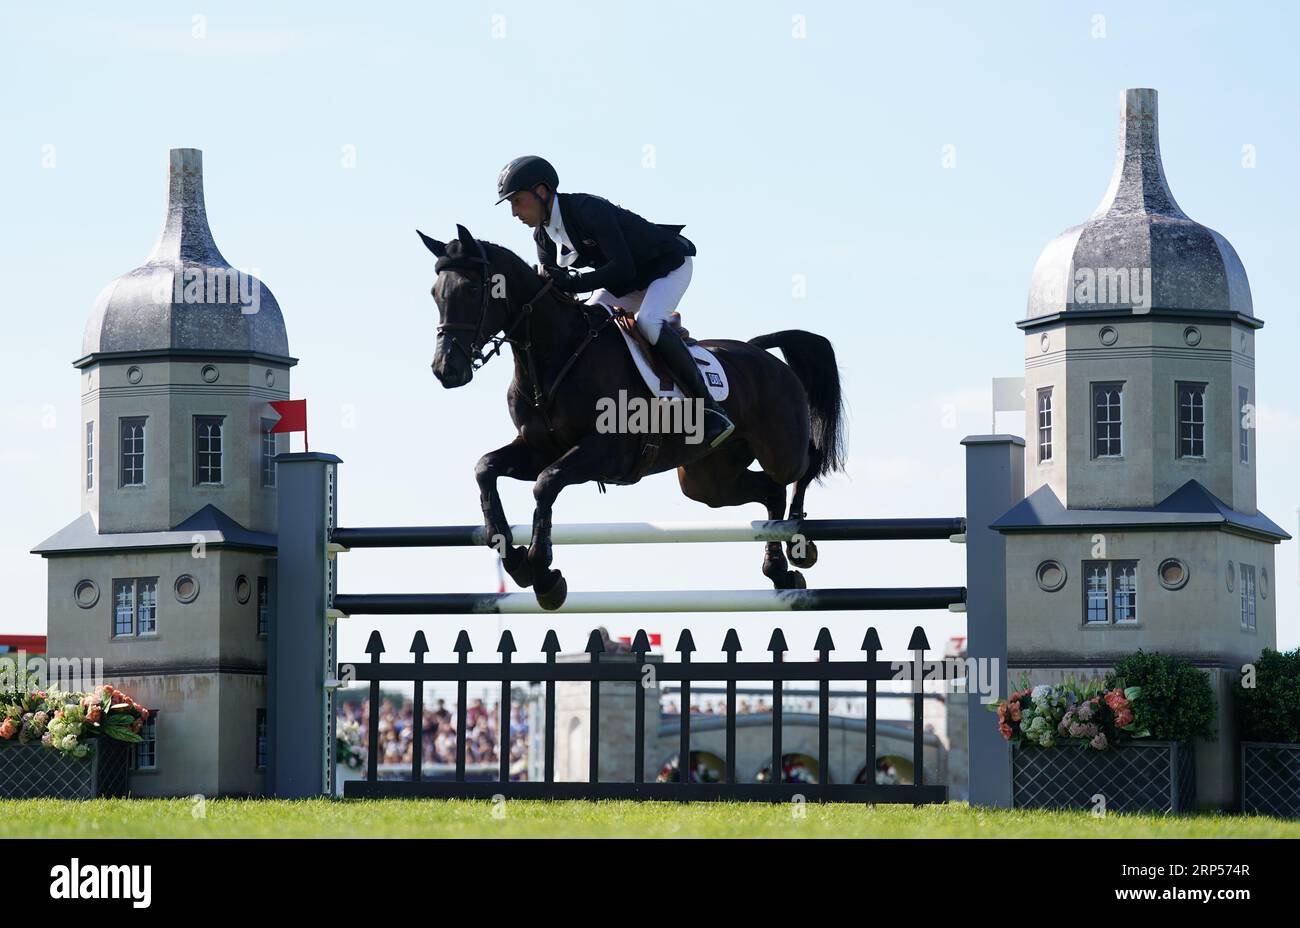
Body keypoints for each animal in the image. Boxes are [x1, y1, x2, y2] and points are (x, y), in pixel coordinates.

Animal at [421, 226, 847, 608]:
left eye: (473, 290)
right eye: (434, 294)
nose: (446, 370)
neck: (556, 354)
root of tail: (762, 353)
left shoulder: (604, 451)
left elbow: (546, 484)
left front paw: (542, 572)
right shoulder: (539, 448)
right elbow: (486, 469)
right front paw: (514, 559)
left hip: (781, 449)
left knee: (805, 465)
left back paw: (800, 544)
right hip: (708, 480)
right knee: (770, 491)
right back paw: (779, 570)